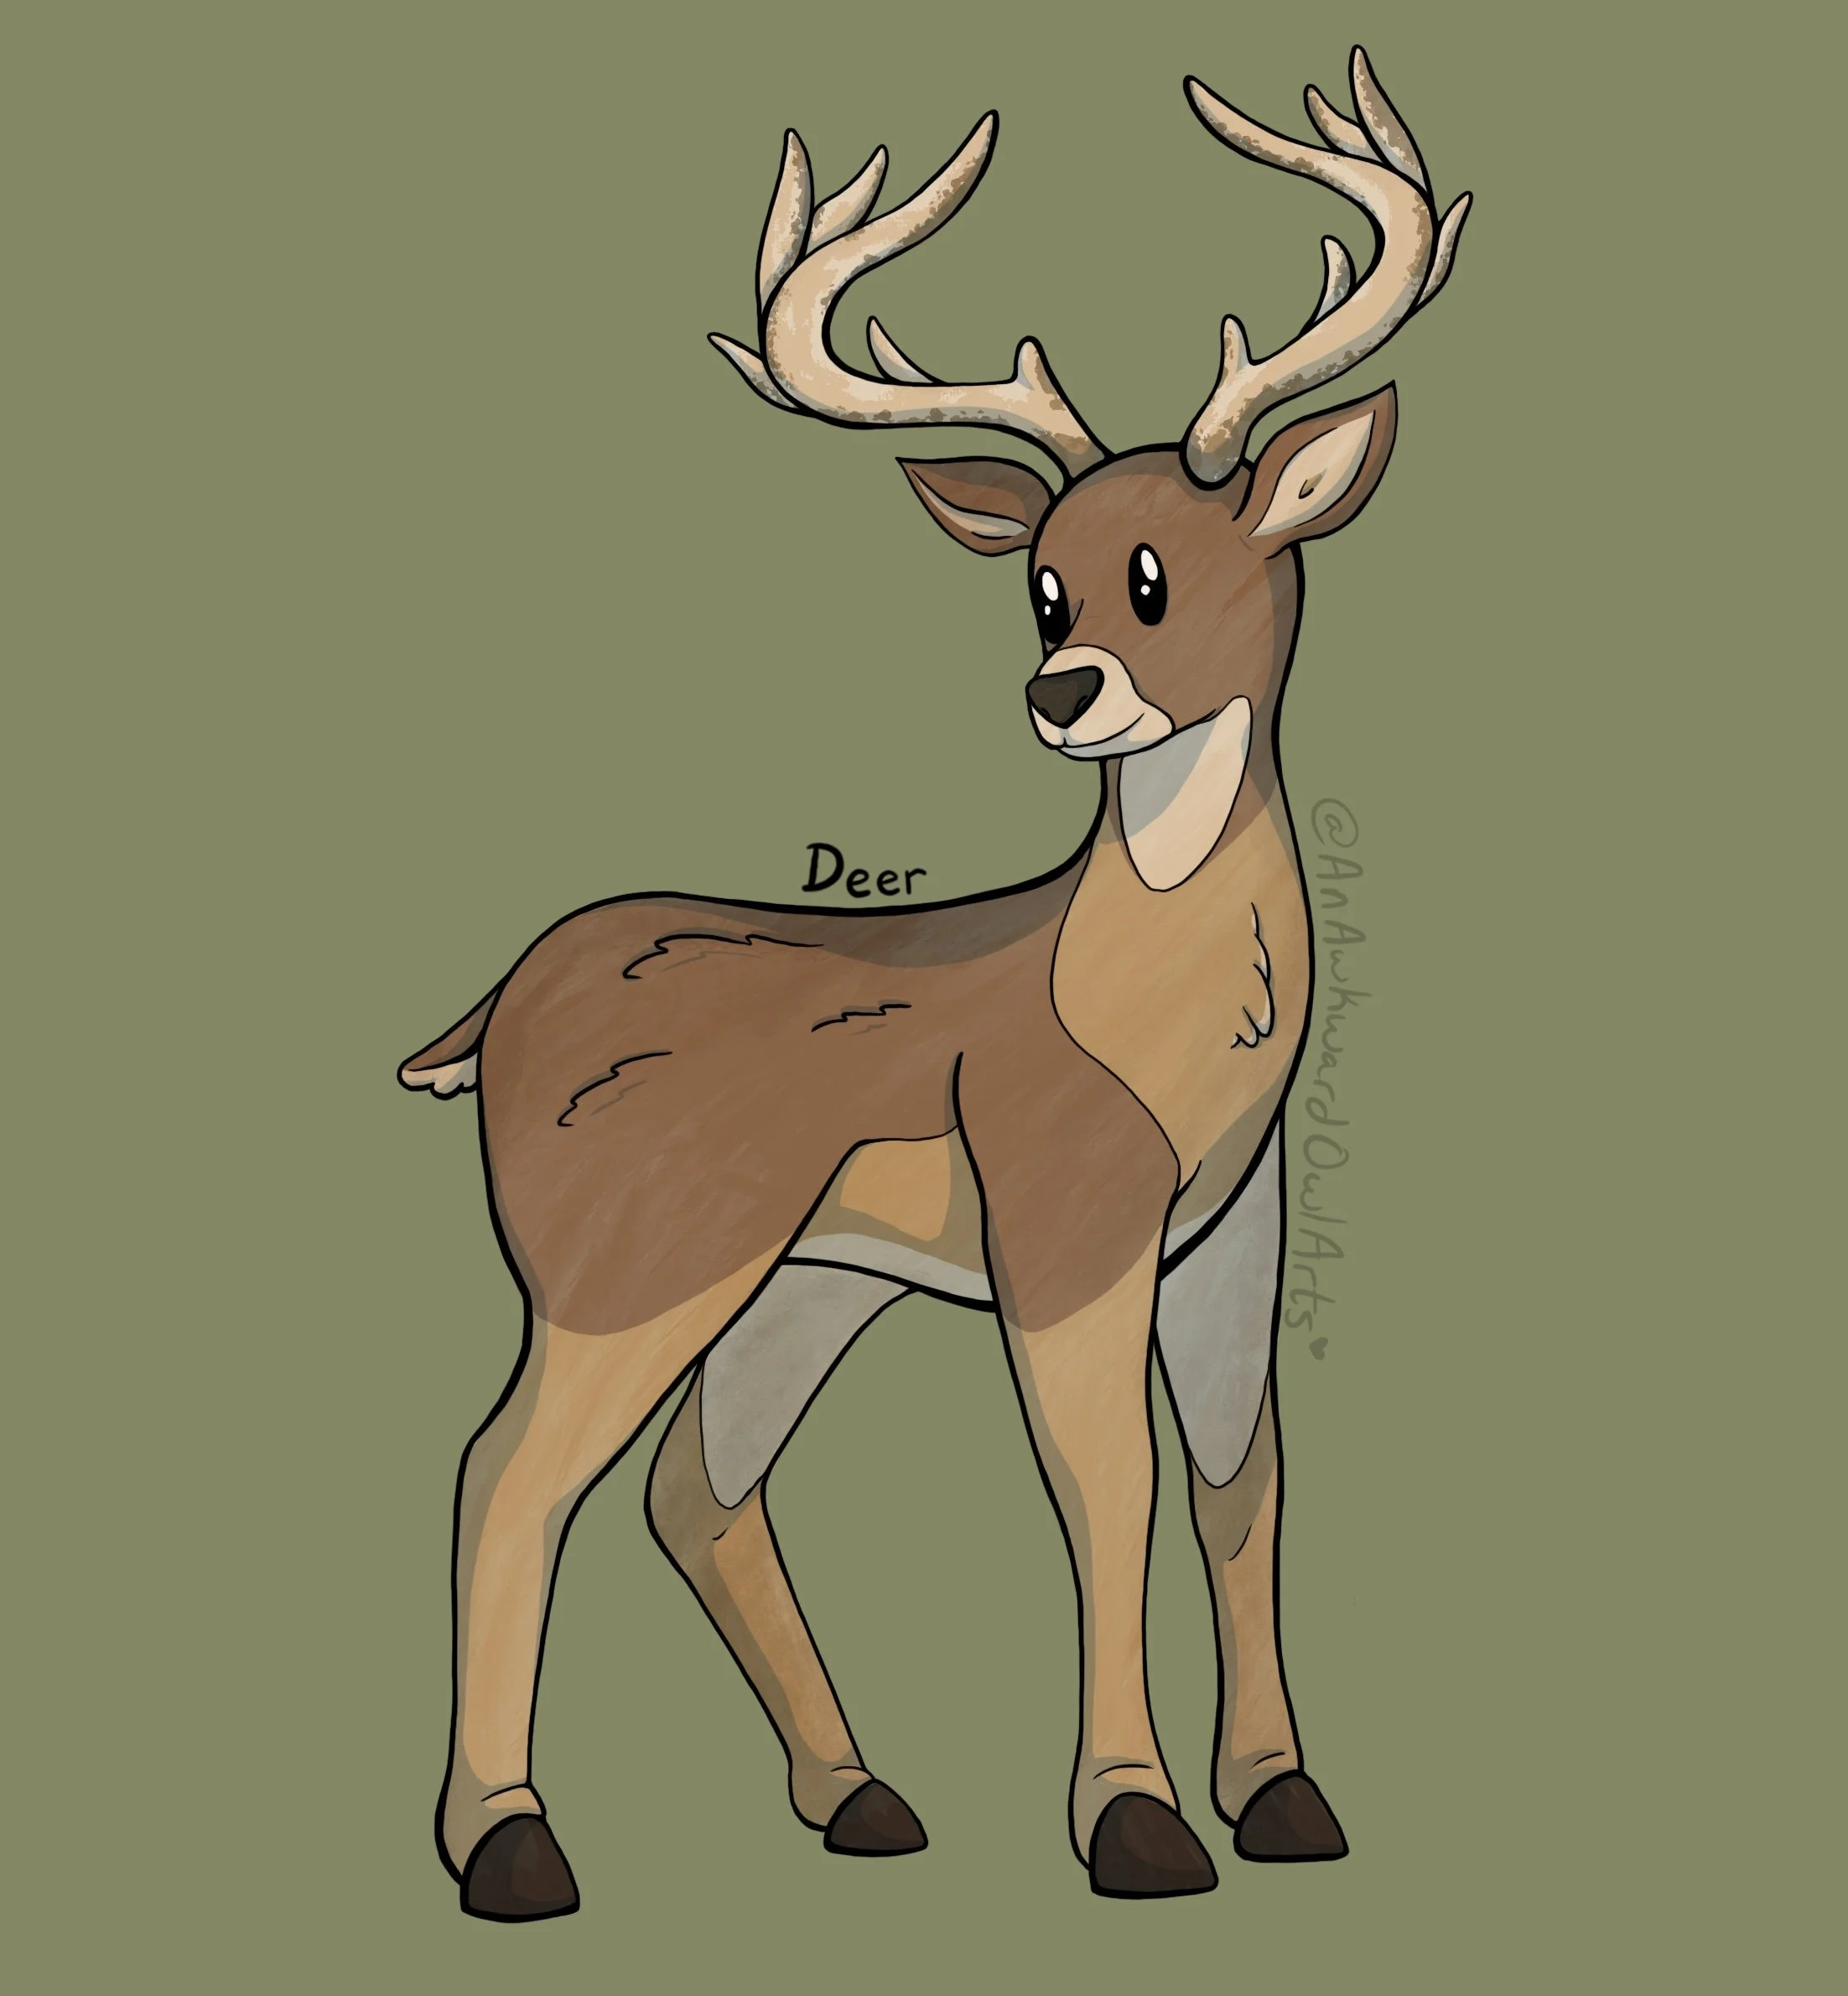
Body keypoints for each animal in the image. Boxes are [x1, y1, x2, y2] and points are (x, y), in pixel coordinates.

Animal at [401, 47, 1469, 1921]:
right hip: (619, 1266)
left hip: (801, 1279)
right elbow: (1107, 1487)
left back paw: (857, 1793)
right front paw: (1134, 1821)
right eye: (1039, 583)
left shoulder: (1226, 1241)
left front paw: (1283, 1796)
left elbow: (1238, 1481)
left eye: (1154, 575)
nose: (1061, 691)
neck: (1163, 1029)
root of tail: (492, 1013)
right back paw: (513, 1844)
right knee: (507, 1471)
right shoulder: (1063, 1226)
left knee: (695, 1484)